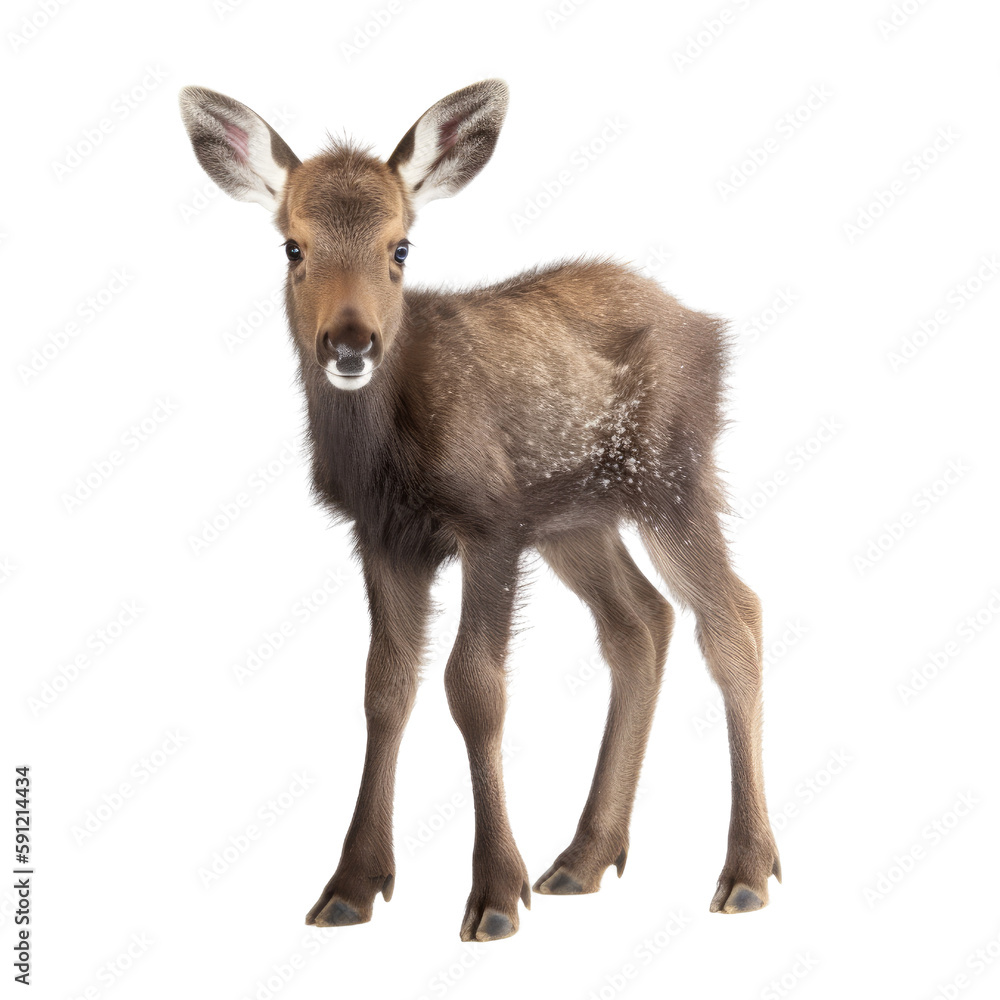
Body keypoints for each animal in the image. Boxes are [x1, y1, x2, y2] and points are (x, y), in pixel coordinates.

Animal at [178, 79, 780, 942]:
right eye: (292, 247)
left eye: (401, 247)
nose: (350, 344)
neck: (388, 456)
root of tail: (708, 328)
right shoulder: (385, 538)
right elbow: (385, 687)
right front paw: (351, 886)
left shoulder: (491, 520)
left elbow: (474, 687)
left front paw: (495, 893)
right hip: (577, 519)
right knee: (641, 623)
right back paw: (584, 858)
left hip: (671, 475)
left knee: (734, 615)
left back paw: (745, 872)